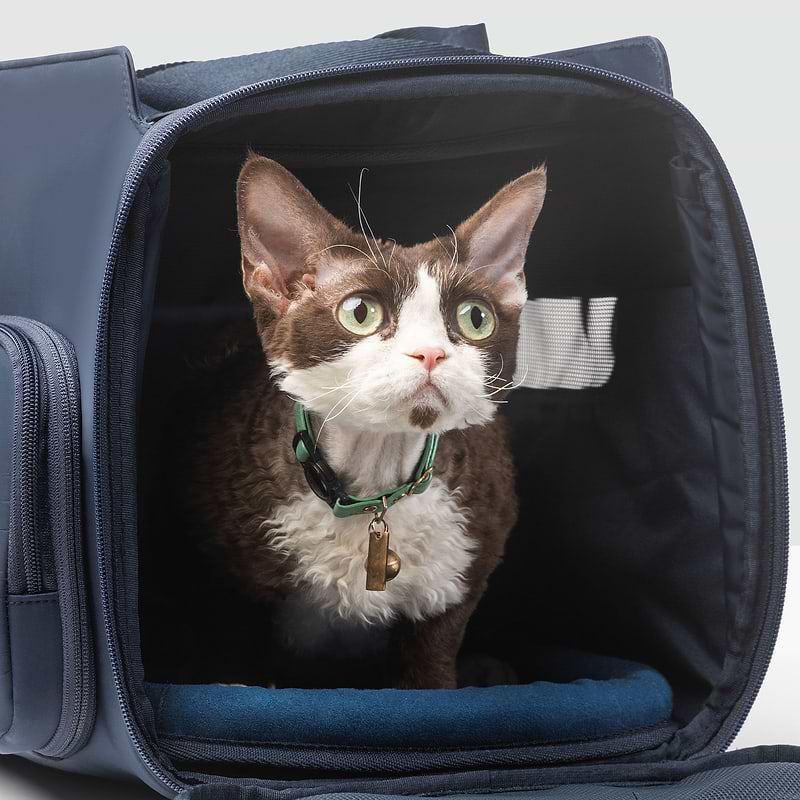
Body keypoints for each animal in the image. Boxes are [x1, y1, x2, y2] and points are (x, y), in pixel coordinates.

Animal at [180, 155, 544, 688]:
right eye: (360, 313)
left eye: (475, 318)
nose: (431, 353)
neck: (375, 480)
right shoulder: (236, 586)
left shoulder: (466, 564)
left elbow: (431, 673)